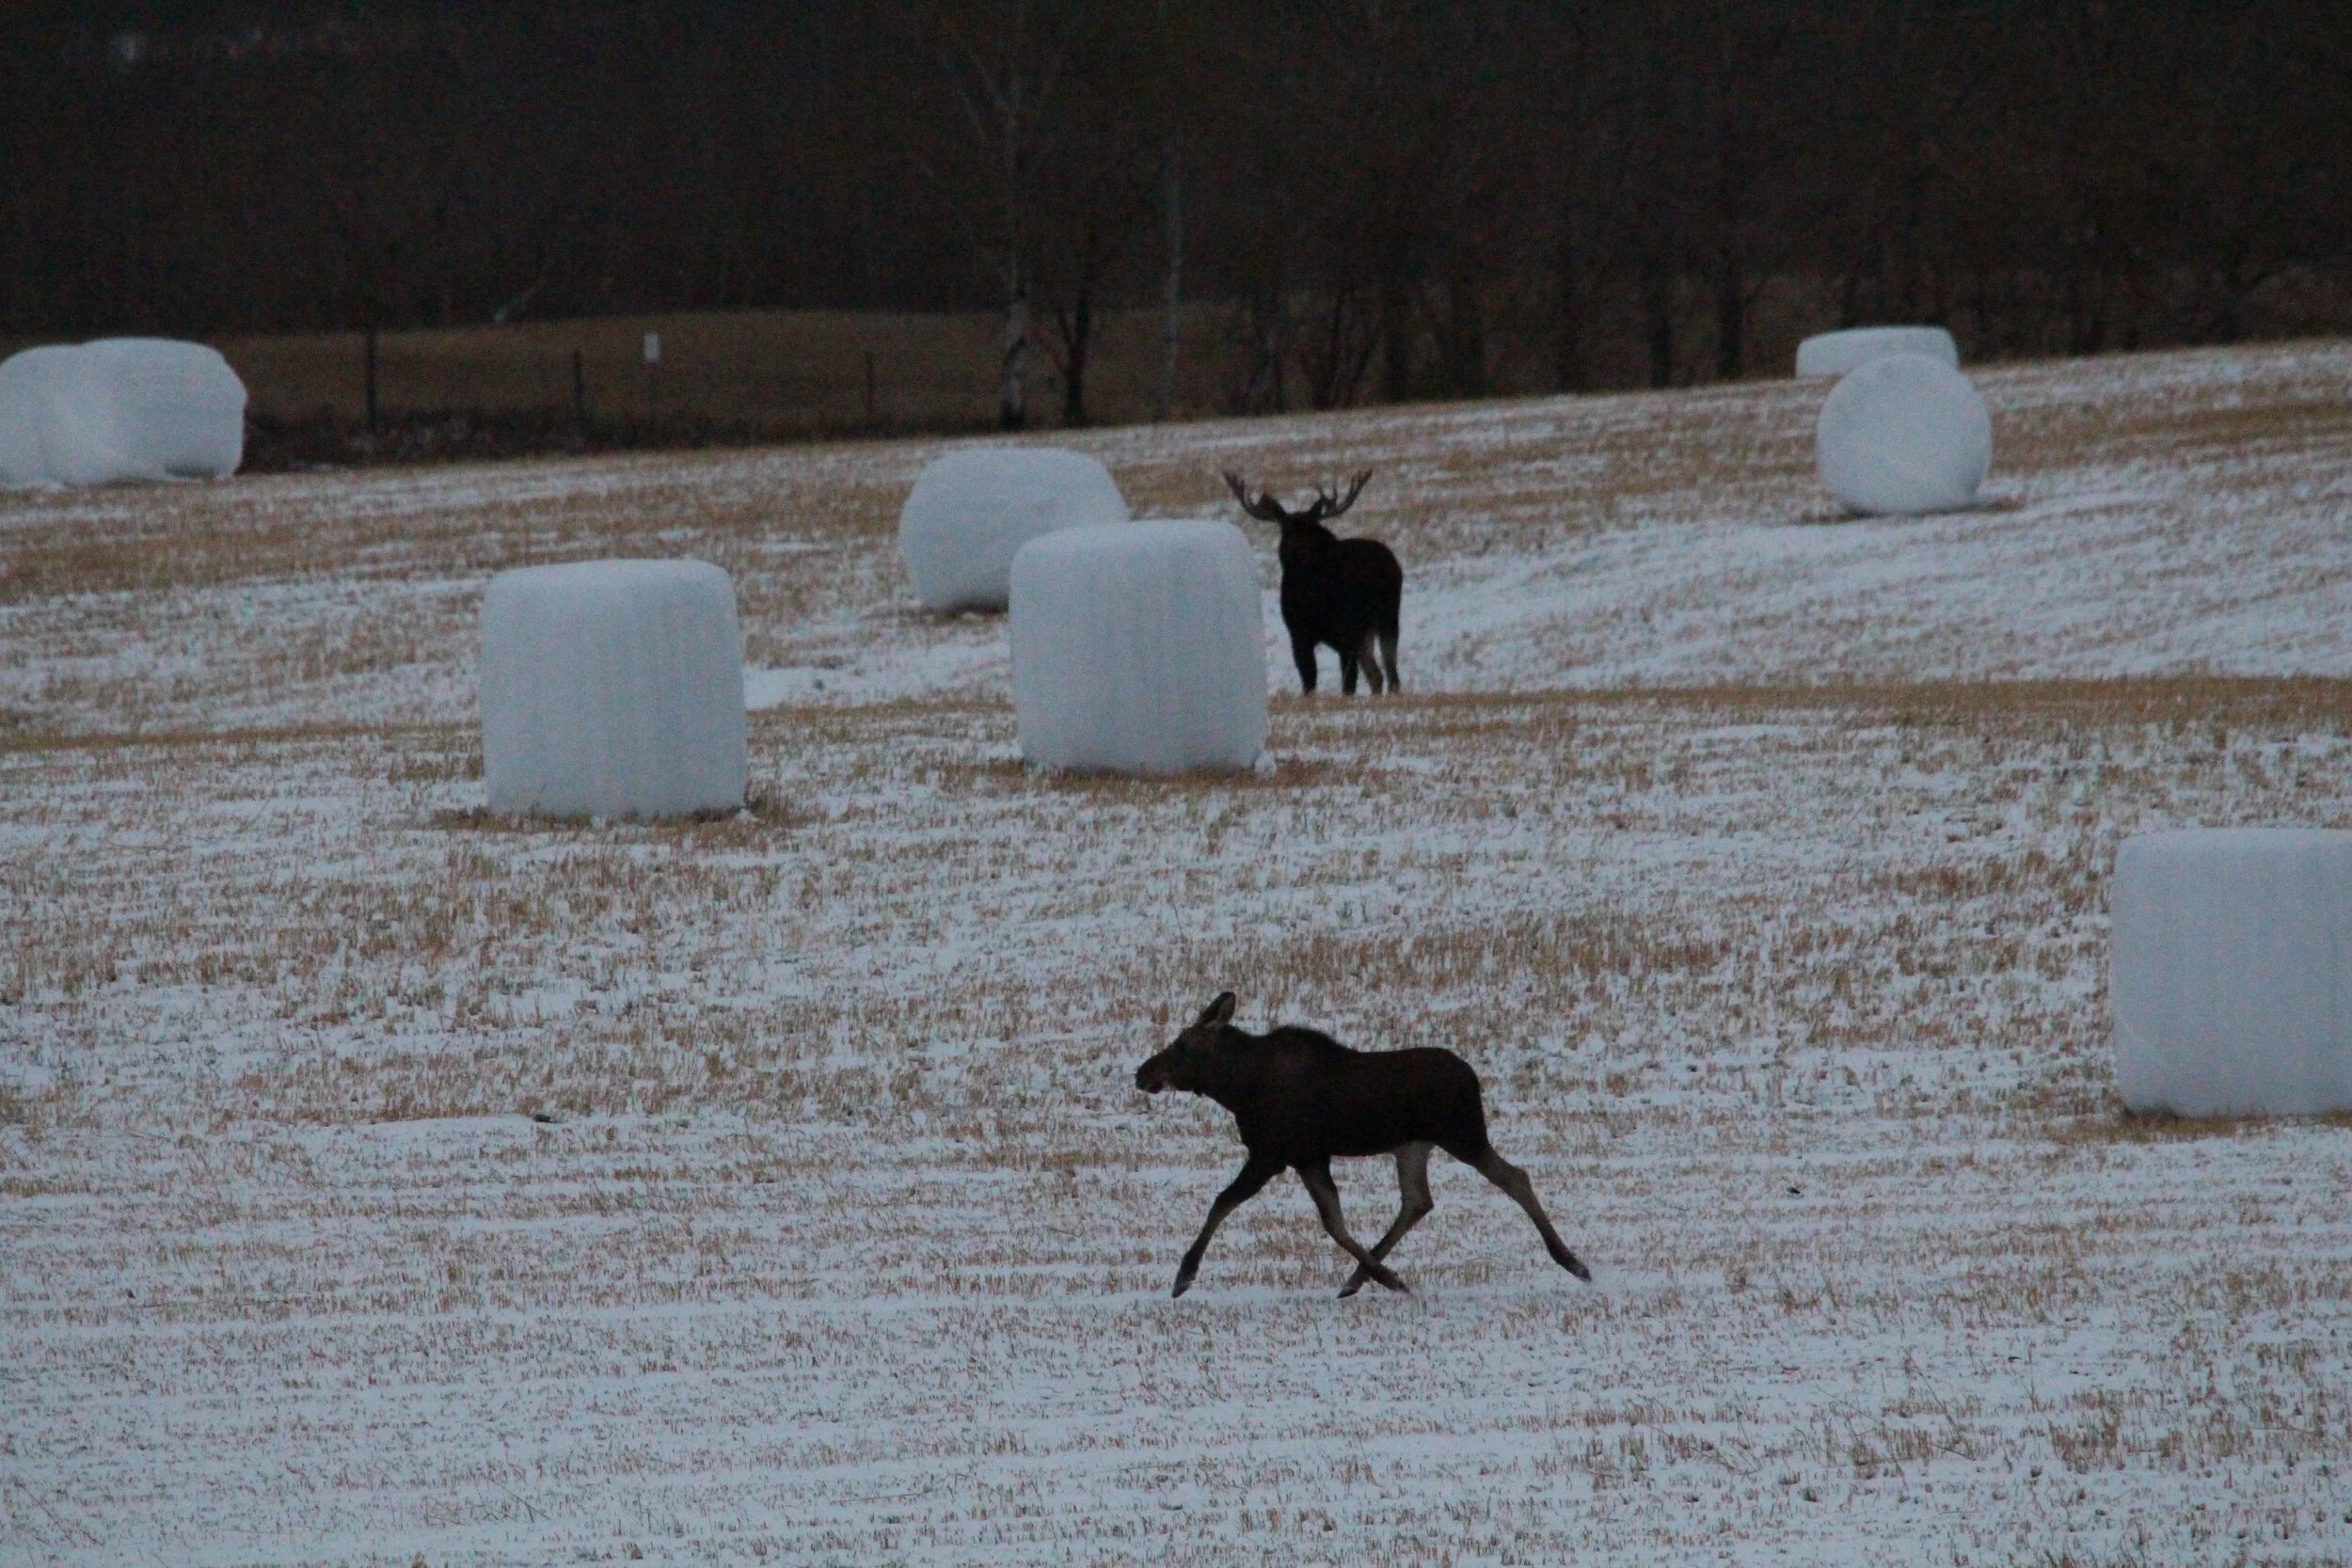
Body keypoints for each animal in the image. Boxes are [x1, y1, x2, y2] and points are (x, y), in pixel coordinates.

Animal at [1133, 991, 1593, 1299]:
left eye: (1183, 1044)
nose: (1142, 1072)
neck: (1236, 1088)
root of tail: (1473, 1078)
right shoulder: (1308, 1157)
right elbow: (1334, 1222)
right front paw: (1387, 1276)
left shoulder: (1272, 1154)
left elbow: (1223, 1202)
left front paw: (1184, 1275)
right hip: (1413, 1145)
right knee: (1418, 1200)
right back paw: (1360, 1277)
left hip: (1462, 1135)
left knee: (1514, 1177)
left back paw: (1574, 1263)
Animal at [1222, 469, 1402, 696]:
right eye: (1286, 529)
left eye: (1311, 529)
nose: (1297, 552)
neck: (1312, 599)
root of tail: (1392, 560)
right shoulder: (1298, 634)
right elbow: (1308, 681)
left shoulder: (1346, 633)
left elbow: (1348, 684)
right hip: (1367, 631)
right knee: (1376, 675)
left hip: (1387, 616)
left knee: (1390, 672)